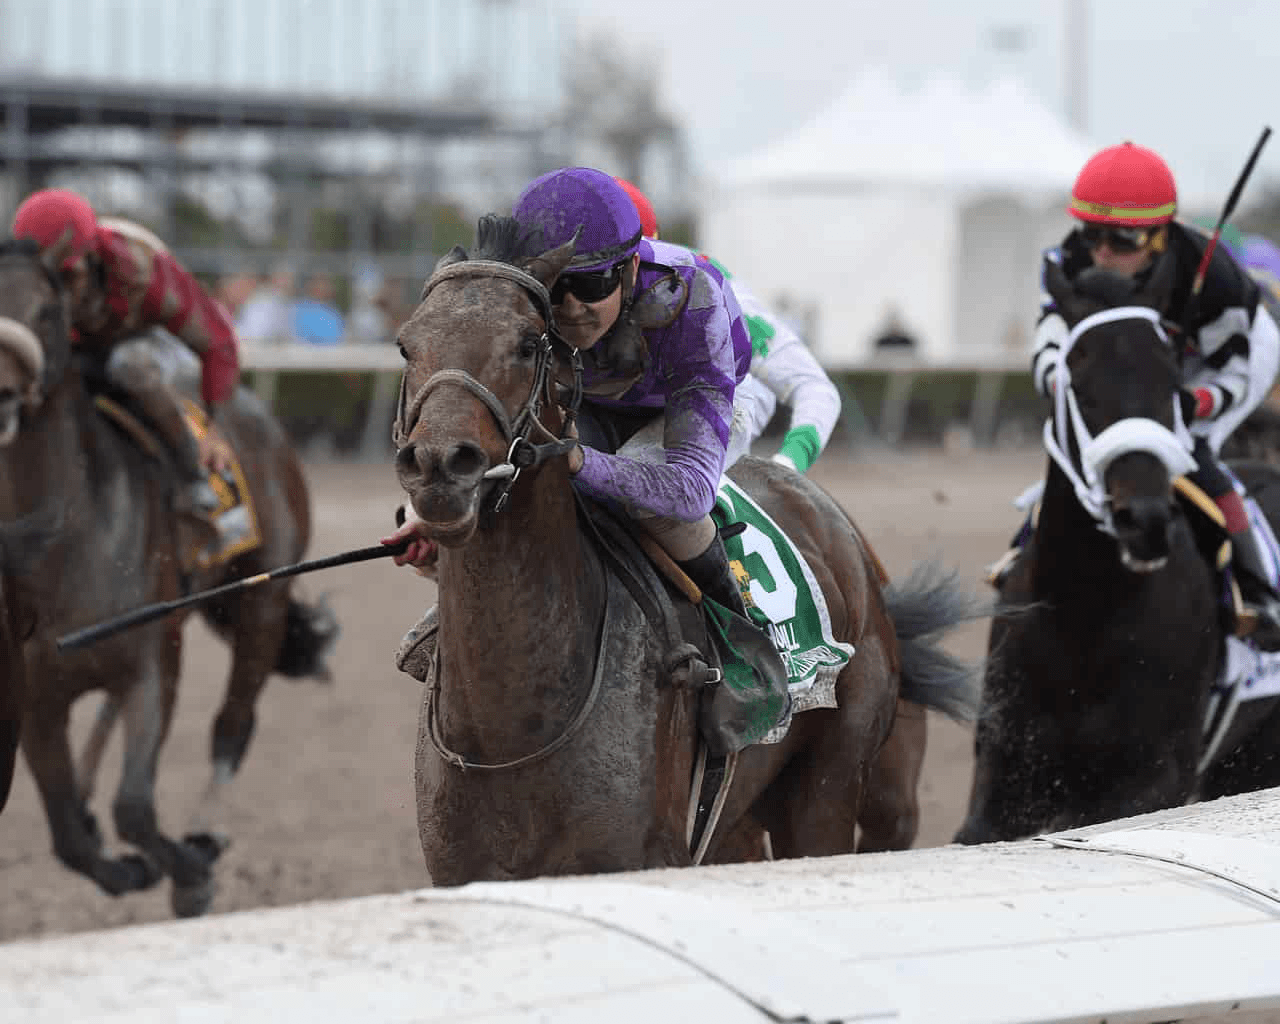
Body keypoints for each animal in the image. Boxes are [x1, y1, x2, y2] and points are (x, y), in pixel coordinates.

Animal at [0, 241, 335, 921]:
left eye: (46, 310)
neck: (67, 534)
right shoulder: (40, 694)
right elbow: (68, 837)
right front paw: (124, 864)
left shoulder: (154, 662)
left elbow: (134, 807)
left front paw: (189, 871)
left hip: (258, 601)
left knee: (233, 723)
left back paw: (203, 831)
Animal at [394, 213, 972, 880]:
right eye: (406, 344)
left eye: (527, 343)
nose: (440, 465)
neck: (512, 728)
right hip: (736, 824)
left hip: (824, 791)